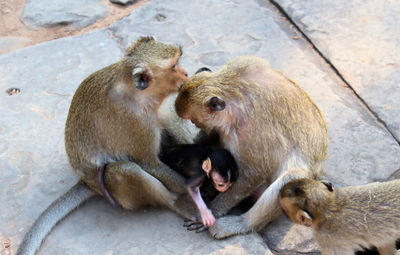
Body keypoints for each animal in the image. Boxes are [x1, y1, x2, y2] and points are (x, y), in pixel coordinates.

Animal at [17, 36, 195, 255]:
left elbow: (170, 124)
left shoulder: (158, 107)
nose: (185, 73)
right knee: (122, 171)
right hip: (109, 189)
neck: (138, 93)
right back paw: (175, 203)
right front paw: (198, 186)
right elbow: (149, 164)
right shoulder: (136, 121)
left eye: (178, 60)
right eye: (173, 65)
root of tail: (85, 181)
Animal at [175, 55, 328, 239]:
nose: (198, 127)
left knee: (291, 179)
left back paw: (238, 224)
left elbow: (254, 173)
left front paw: (211, 211)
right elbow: (216, 136)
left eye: (194, 121)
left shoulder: (254, 131)